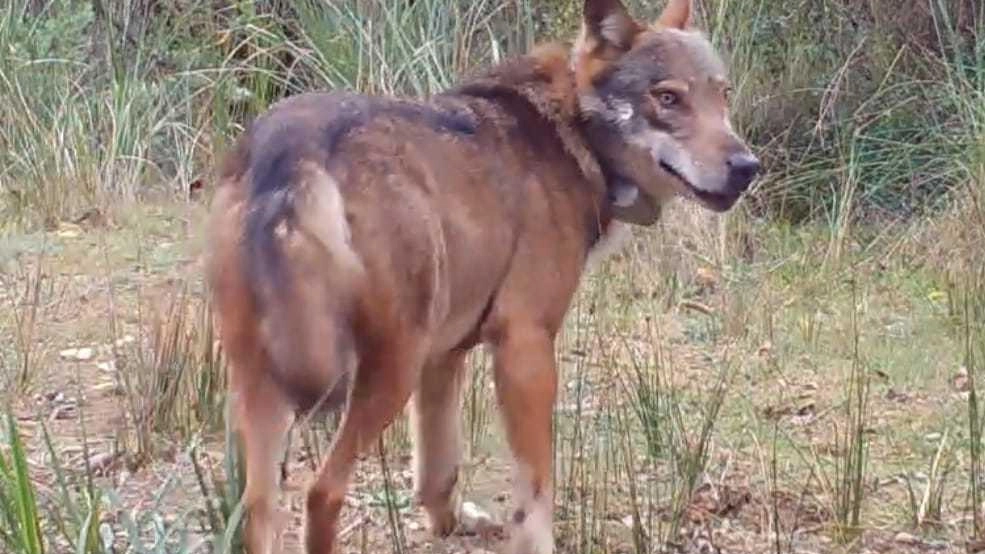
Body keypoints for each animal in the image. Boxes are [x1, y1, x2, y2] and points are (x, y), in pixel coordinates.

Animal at [206, 2, 760, 548]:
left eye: (723, 95)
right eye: (668, 98)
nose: (747, 166)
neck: (573, 134)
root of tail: (291, 152)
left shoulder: (445, 358)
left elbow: (438, 472)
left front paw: (451, 525)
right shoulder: (525, 348)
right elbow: (536, 493)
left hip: (265, 391)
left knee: (257, 509)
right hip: (385, 373)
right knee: (322, 493)